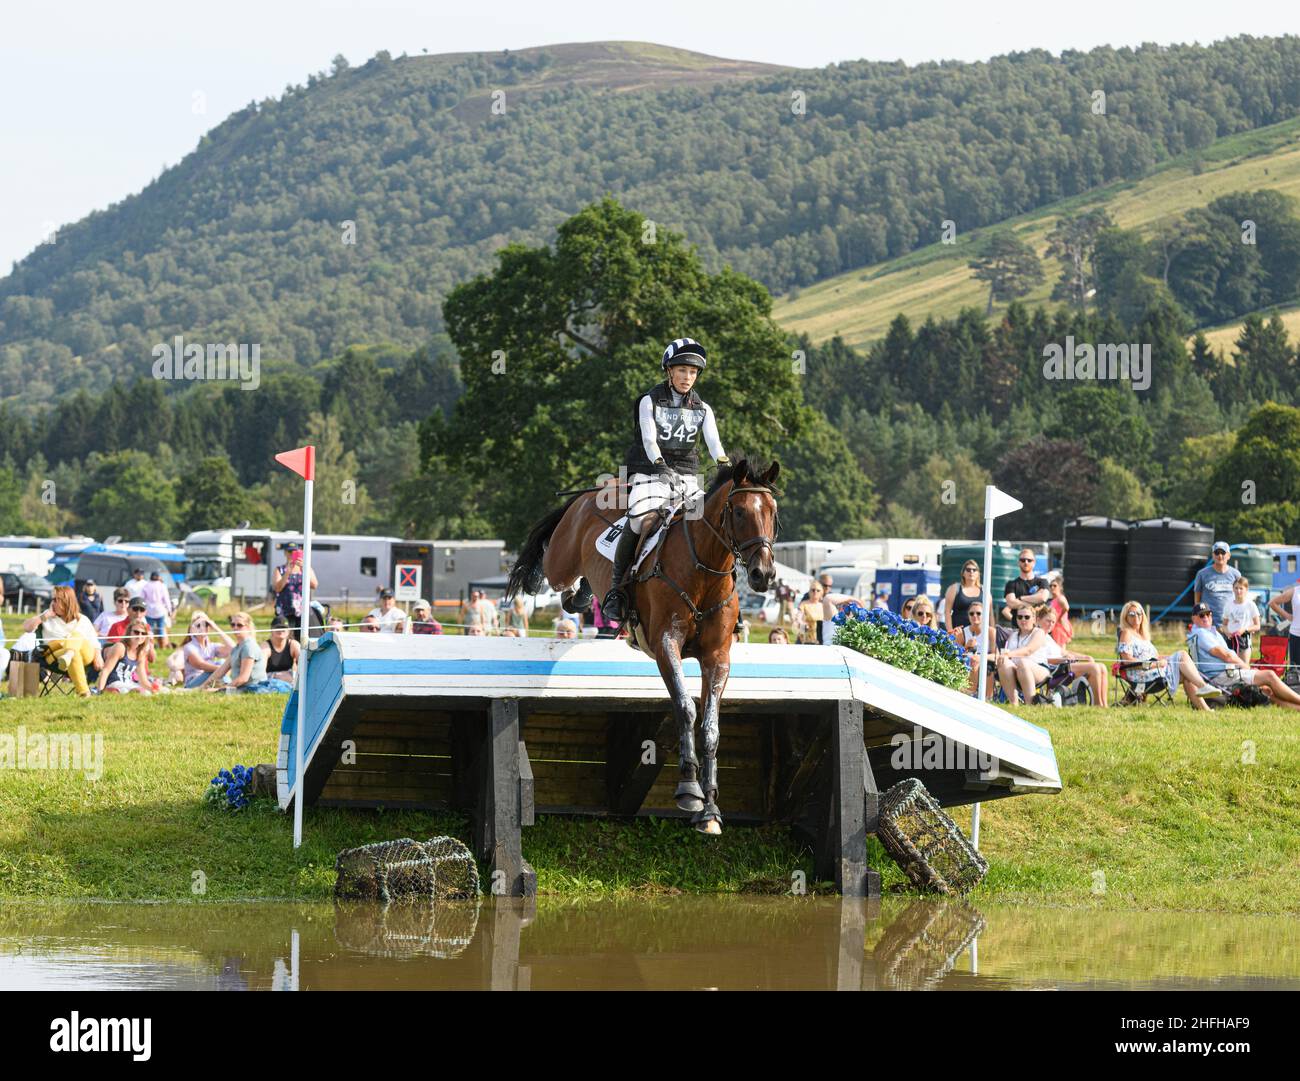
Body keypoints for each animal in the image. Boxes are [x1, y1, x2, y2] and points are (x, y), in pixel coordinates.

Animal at [501, 457, 774, 836]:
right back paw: (558, 588)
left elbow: (711, 727)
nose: (764, 574)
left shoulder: (717, 658)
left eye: (773, 512)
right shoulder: (665, 645)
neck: (705, 569)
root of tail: (591, 495)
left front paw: (710, 810)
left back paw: (586, 596)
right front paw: (689, 791)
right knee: (554, 570)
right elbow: (686, 708)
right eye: (738, 511)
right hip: (562, 560)